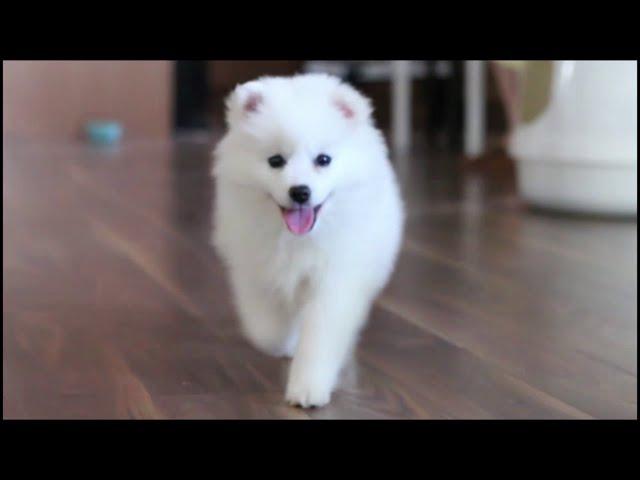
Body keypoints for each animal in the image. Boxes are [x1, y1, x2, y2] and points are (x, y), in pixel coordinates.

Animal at [214, 73, 404, 406]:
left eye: (323, 159)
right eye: (275, 160)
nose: (300, 191)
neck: (297, 239)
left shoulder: (335, 280)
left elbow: (320, 337)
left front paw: (307, 388)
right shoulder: (255, 267)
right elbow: (266, 327)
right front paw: (281, 342)